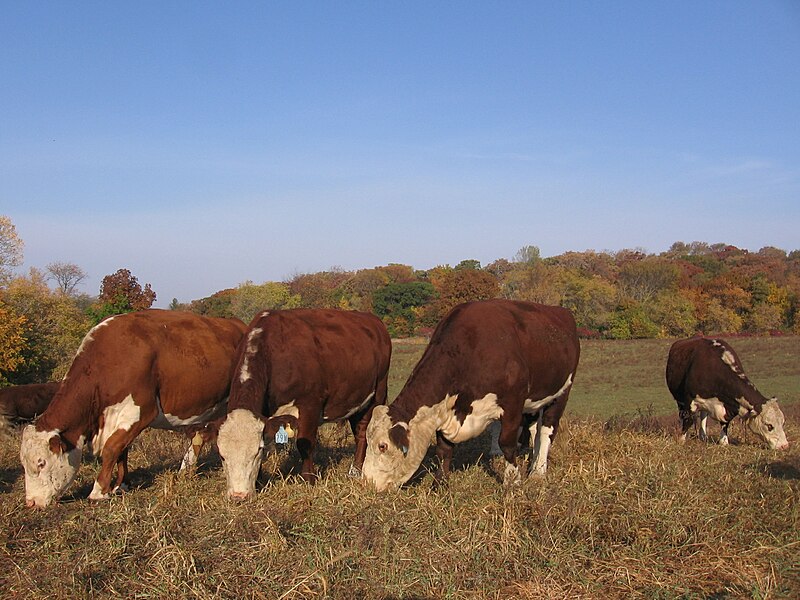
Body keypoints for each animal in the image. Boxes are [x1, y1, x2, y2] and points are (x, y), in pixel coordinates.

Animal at [21, 308, 247, 508]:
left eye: (41, 463)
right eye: (23, 464)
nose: (31, 503)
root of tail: (238, 324)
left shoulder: (141, 411)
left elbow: (112, 448)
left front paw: (99, 491)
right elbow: (122, 451)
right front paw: (122, 485)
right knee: (200, 436)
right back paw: (185, 469)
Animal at [214, 308, 392, 500]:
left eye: (257, 452)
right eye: (222, 456)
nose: (238, 495)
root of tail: (372, 319)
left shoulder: (310, 404)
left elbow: (304, 444)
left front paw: (309, 479)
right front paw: (260, 481)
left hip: (378, 392)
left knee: (363, 431)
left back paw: (356, 470)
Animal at [364, 300, 580, 492]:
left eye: (382, 446)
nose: (367, 482)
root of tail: (561, 312)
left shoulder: (513, 403)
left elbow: (507, 443)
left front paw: (513, 481)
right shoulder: (446, 410)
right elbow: (444, 450)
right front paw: (439, 485)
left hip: (562, 392)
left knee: (546, 430)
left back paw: (538, 472)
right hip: (534, 401)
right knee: (535, 429)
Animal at [664, 336, 792, 448]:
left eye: (783, 422)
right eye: (769, 425)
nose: (784, 446)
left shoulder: (728, 406)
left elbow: (725, 423)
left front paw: (724, 441)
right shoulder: (689, 399)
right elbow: (688, 420)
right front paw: (681, 440)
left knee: (703, 414)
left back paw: (703, 436)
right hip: (679, 399)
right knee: (684, 415)